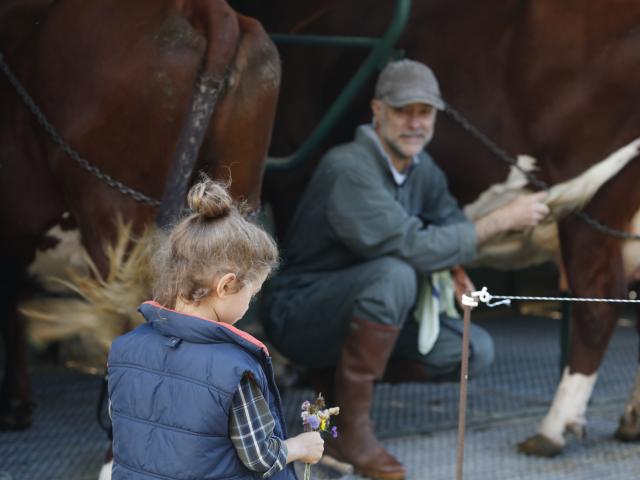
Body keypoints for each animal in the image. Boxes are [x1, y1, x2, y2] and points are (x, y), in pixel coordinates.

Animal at [238, 0, 640, 458]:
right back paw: (630, 420)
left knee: (598, 303)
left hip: (596, 207)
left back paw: (552, 428)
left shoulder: (292, 181)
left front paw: (297, 366)